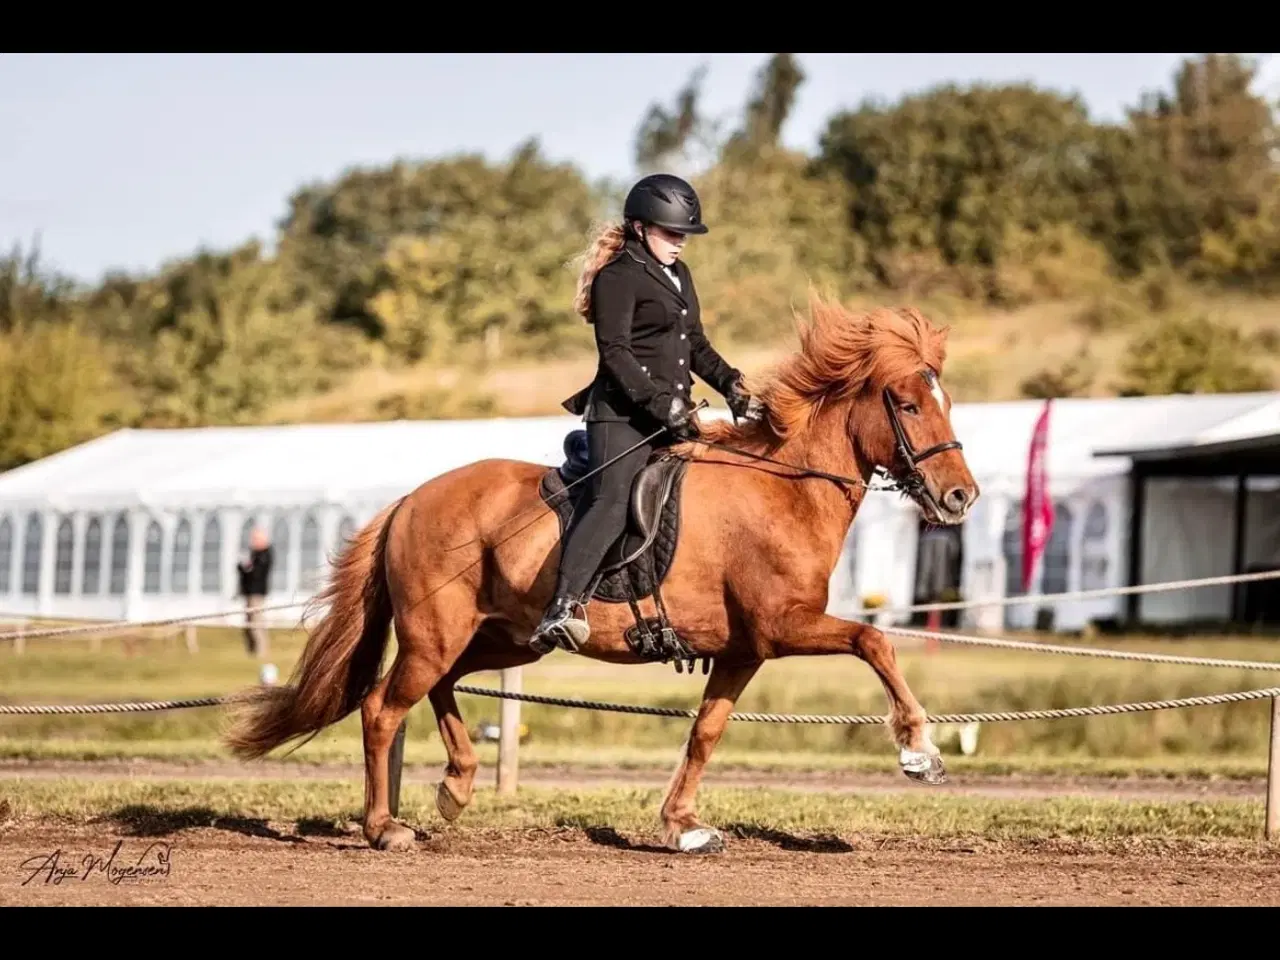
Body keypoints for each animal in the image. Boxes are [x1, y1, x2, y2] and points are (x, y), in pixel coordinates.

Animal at [222, 295, 977, 855]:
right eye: (908, 404)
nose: (960, 498)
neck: (783, 489)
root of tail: (409, 500)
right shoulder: (783, 627)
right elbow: (874, 642)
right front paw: (920, 752)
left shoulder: (744, 649)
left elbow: (706, 732)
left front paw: (682, 826)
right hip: (440, 632)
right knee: (383, 707)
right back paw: (385, 828)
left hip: (503, 638)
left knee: (439, 686)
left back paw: (457, 786)